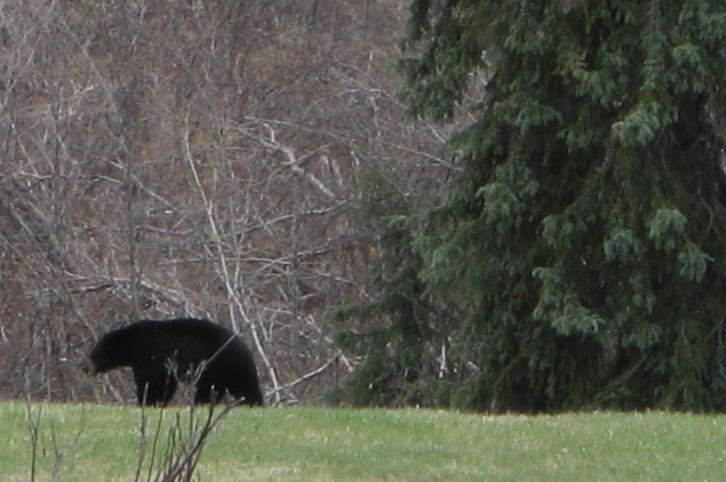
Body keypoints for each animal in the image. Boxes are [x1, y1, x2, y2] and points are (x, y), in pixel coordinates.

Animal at [86, 318, 264, 406]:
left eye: (93, 354)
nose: (83, 367)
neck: (131, 342)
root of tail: (245, 348)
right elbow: (166, 382)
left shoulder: (149, 352)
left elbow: (152, 380)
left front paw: (147, 401)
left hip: (223, 364)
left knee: (243, 386)